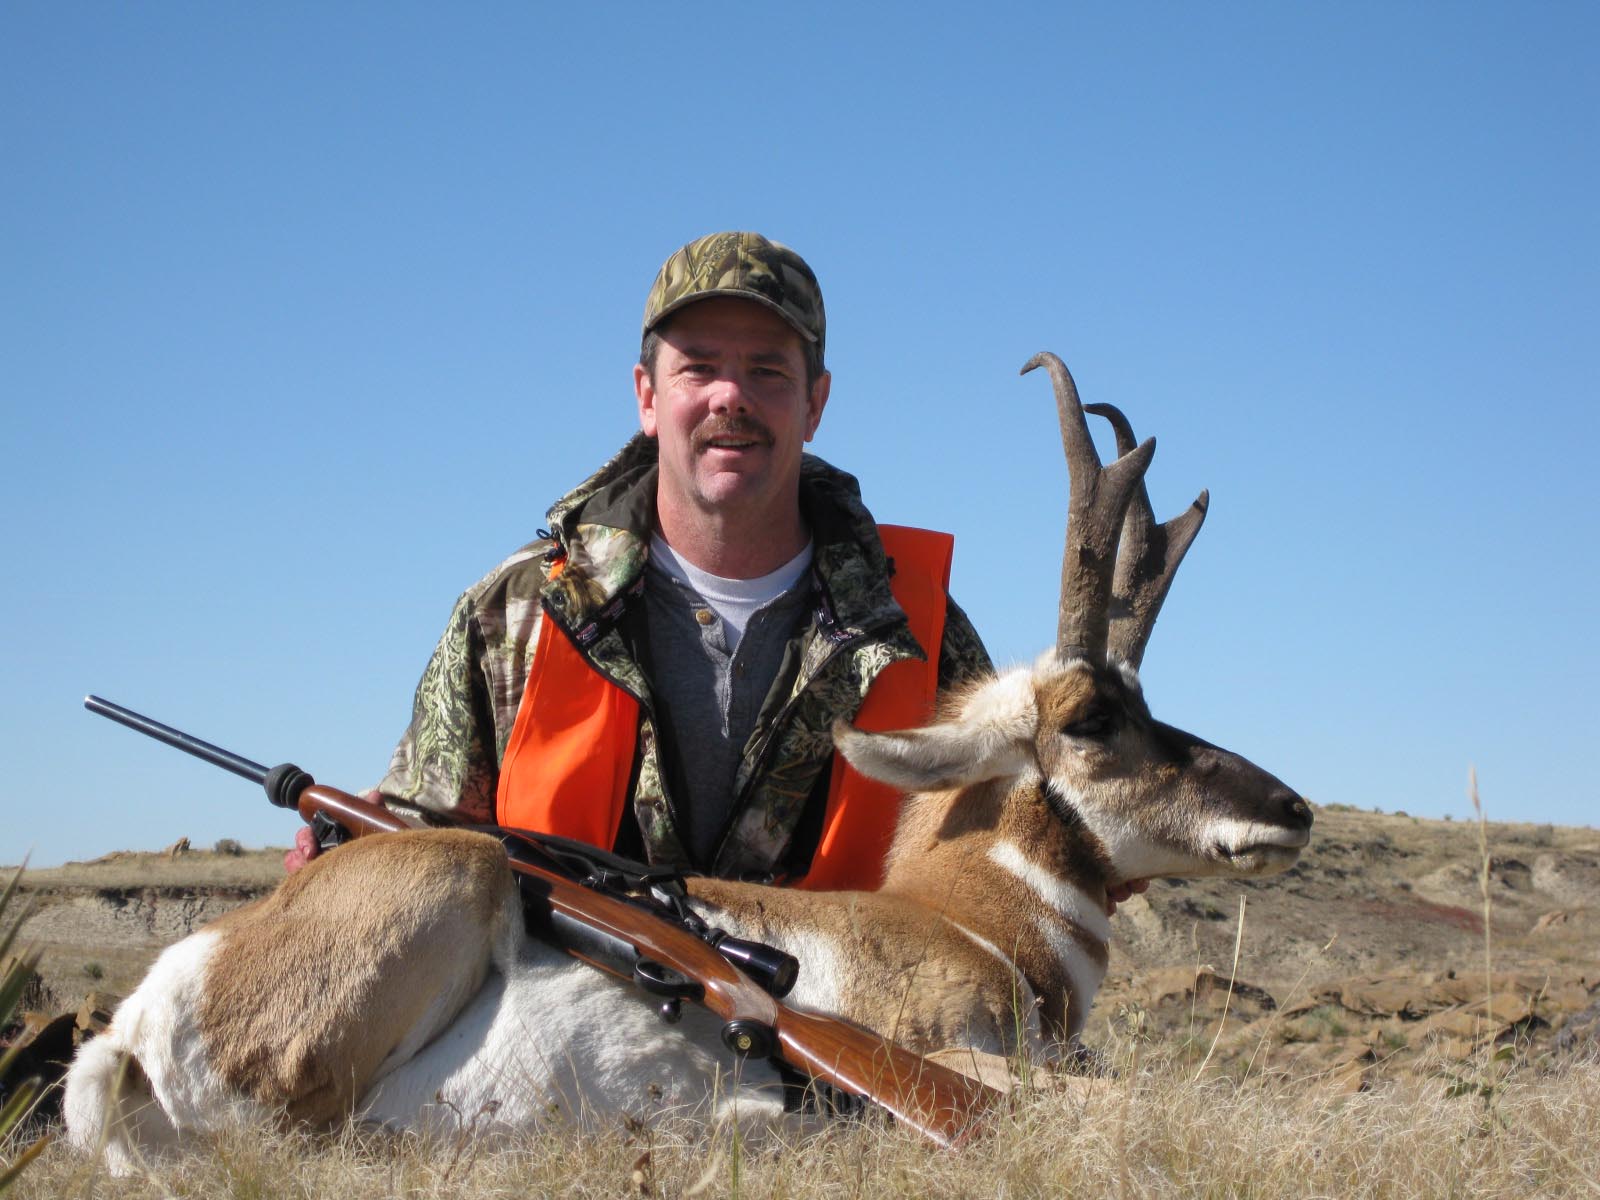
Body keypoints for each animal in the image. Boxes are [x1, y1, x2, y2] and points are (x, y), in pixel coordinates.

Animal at [65, 352, 1312, 1171]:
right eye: (1097, 718)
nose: (1291, 809)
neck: (969, 916)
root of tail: (136, 1021)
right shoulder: (954, 1055)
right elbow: (1107, 1111)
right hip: (460, 871)